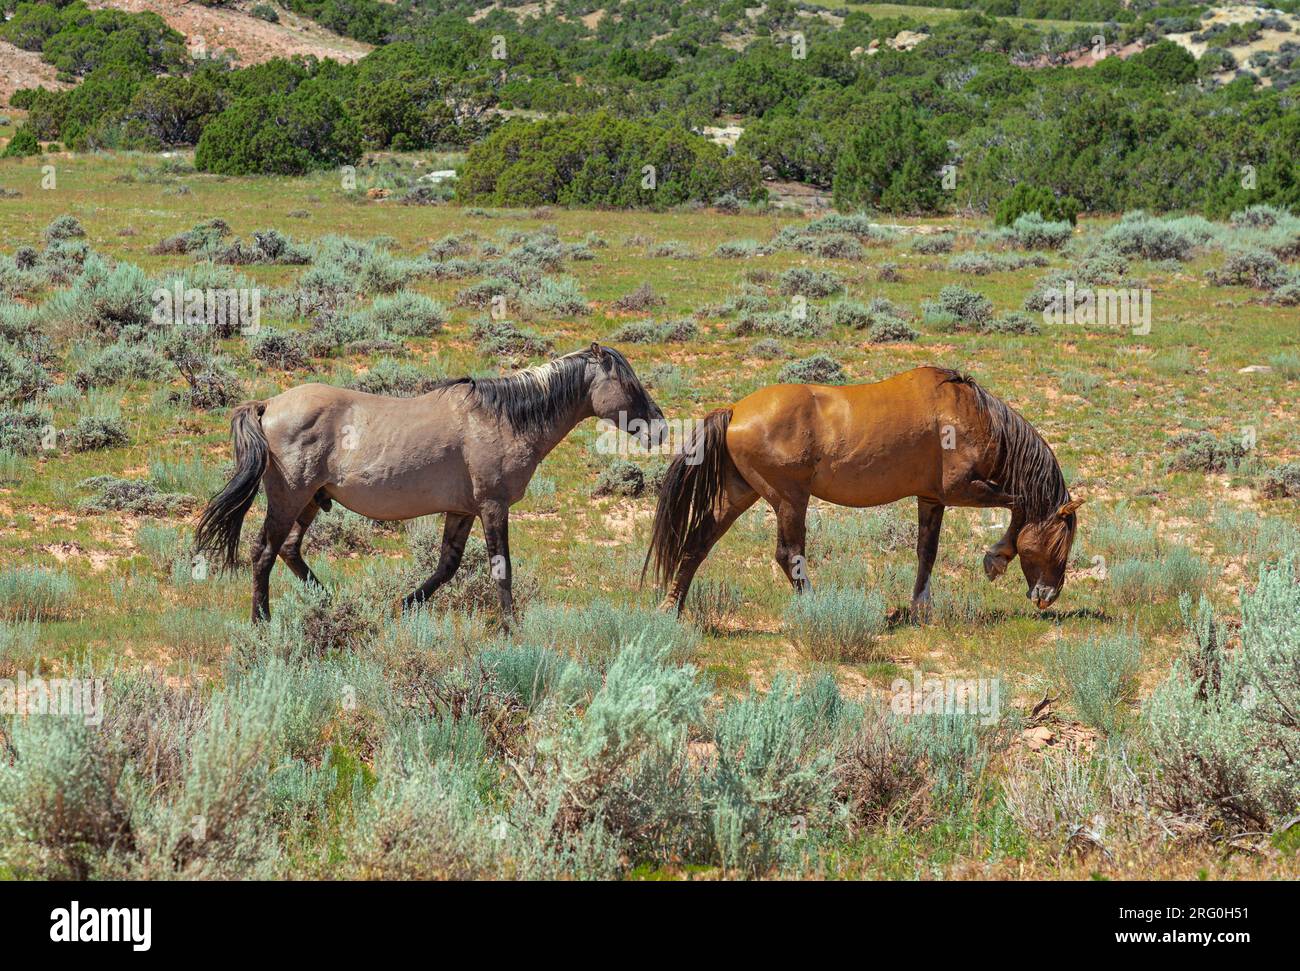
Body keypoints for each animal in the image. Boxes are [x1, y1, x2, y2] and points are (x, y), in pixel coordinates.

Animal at [197, 343, 665, 623]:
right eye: (628, 384)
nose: (659, 428)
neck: (501, 419)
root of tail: (267, 404)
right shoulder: (493, 506)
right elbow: (501, 570)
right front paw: (510, 627)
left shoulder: (462, 511)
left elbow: (446, 568)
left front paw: (398, 608)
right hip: (288, 499)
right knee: (264, 553)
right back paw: (263, 621)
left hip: (312, 500)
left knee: (290, 551)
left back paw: (330, 601)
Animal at [644, 363, 1081, 623]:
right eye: (1061, 545)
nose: (1047, 596)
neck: (972, 414)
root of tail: (735, 410)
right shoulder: (961, 490)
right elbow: (1020, 507)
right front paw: (996, 559)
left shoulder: (932, 499)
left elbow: (927, 552)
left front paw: (921, 608)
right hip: (789, 499)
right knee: (788, 555)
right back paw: (817, 607)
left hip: (739, 494)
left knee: (697, 544)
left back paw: (671, 608)